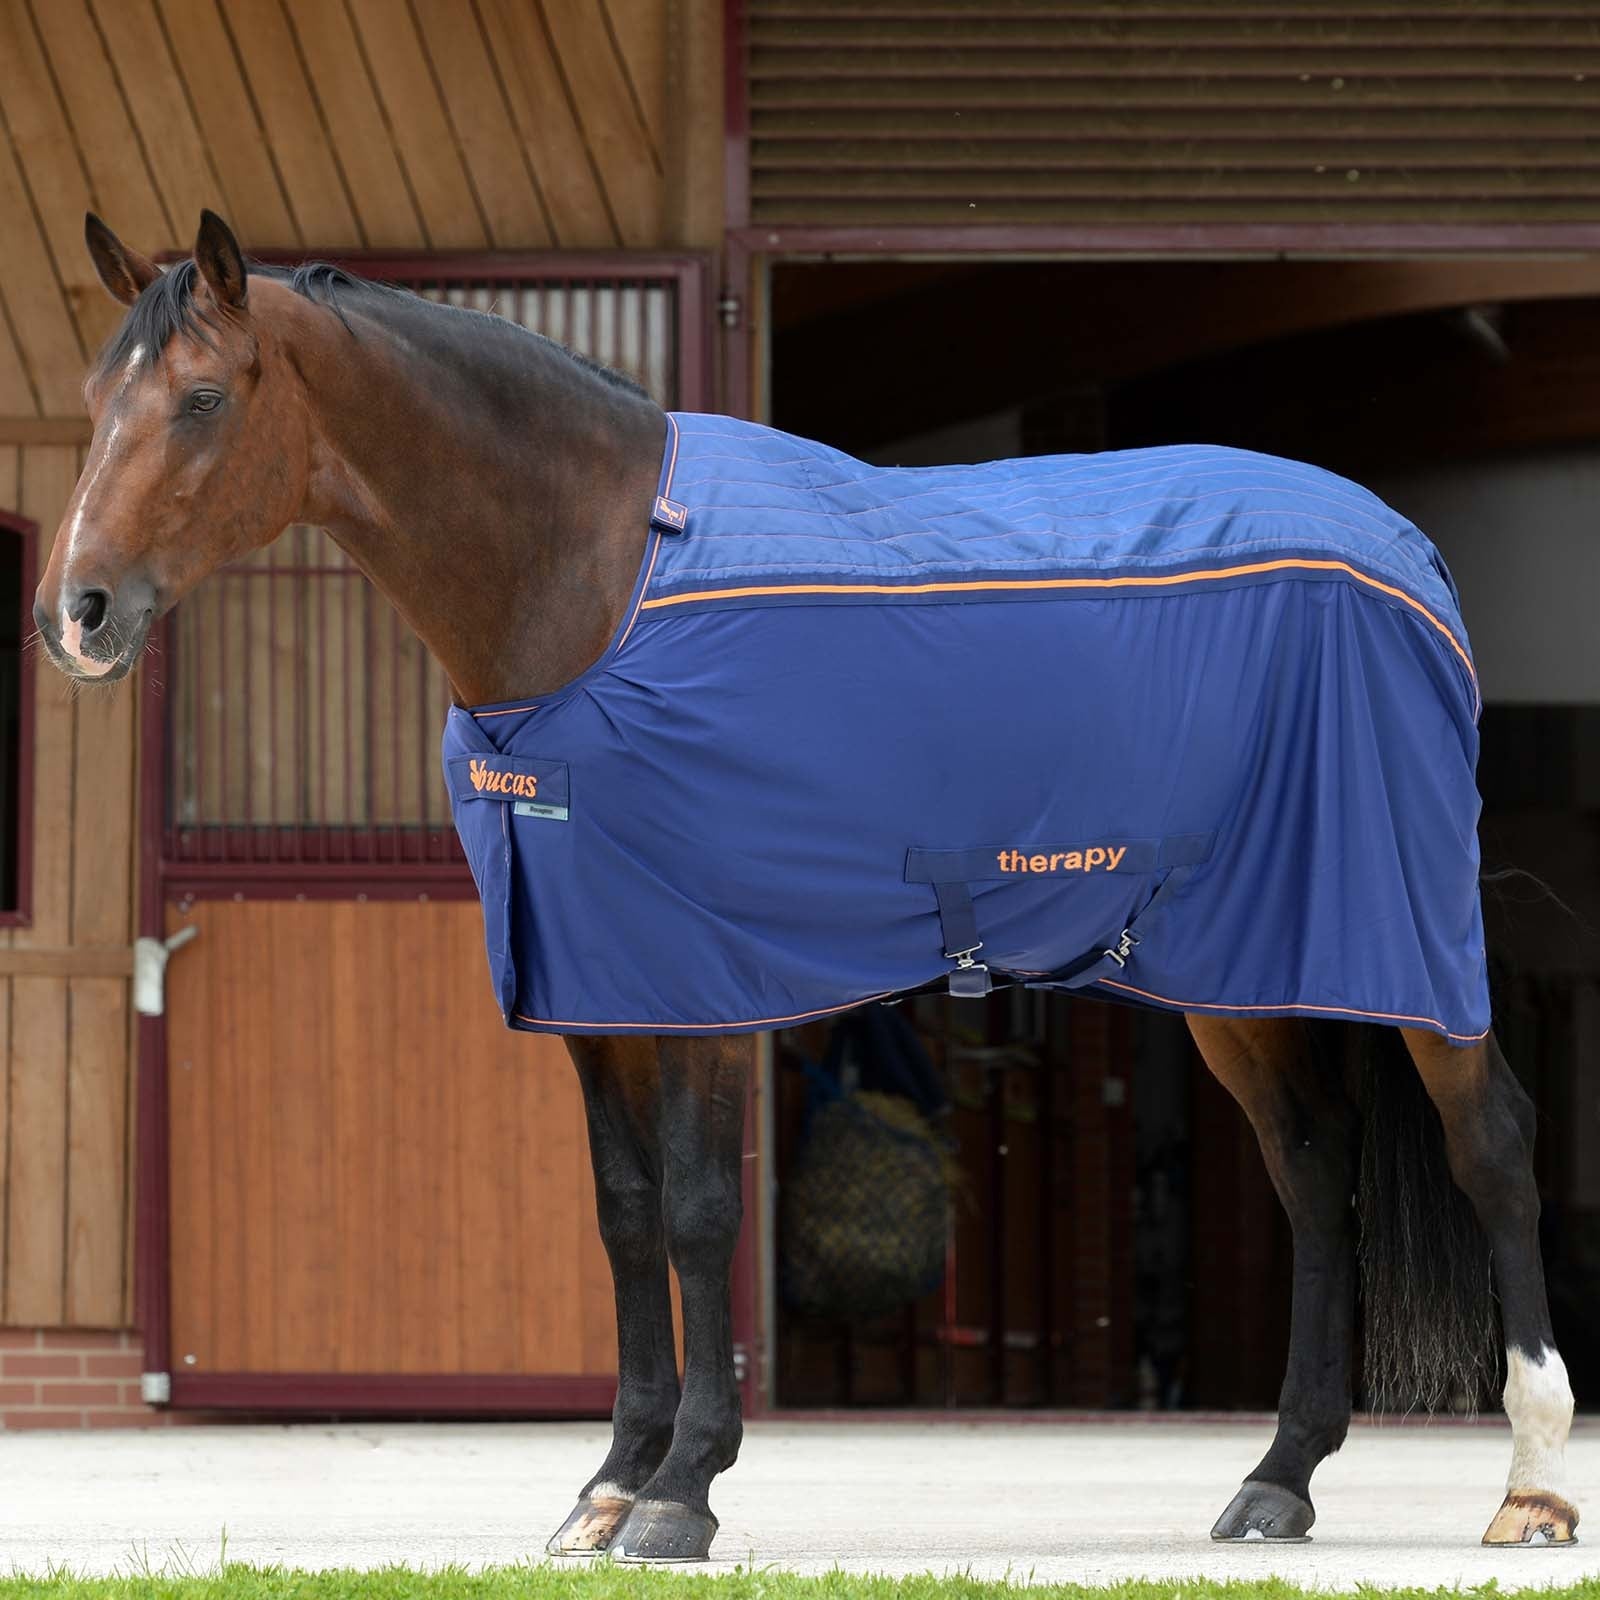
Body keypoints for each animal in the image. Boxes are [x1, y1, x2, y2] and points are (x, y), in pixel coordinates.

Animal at [35, 210, 1576, 1563]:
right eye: (95, 398)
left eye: (203, 396)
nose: (77, 615)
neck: (597, 575)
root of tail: (1407, 553)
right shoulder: (595, 986)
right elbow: (624, 1215)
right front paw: (609, 1484)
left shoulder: (709, 986)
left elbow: (701, 1215)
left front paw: (682, 1493)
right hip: (1239, 971)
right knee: (1315, 1177)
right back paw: (1279, 1478)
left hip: (1403, 944)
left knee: (1490, 1144)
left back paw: (1532, 1483)